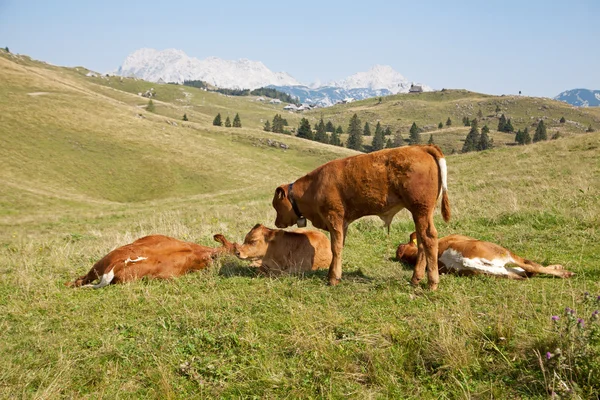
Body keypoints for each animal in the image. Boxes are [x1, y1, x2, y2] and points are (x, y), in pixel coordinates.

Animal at [272, 145, 450, 290]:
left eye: (276, 205)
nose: (276, 222)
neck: (314, 185)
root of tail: (421, 147)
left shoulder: (334, 217)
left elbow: (336, 248)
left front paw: (333, 278)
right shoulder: (342, 223)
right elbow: (339, 246)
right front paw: (331, 273)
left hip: (421, 209)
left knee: (429, 238)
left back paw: (432, 283)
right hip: (420, 213)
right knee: (421, 241)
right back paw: (415, 279)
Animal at [396, 233, 576, 280]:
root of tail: (463, 260)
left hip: (500, 271)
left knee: (526, 272)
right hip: (504, 252)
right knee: (530, 266)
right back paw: (565, 272)